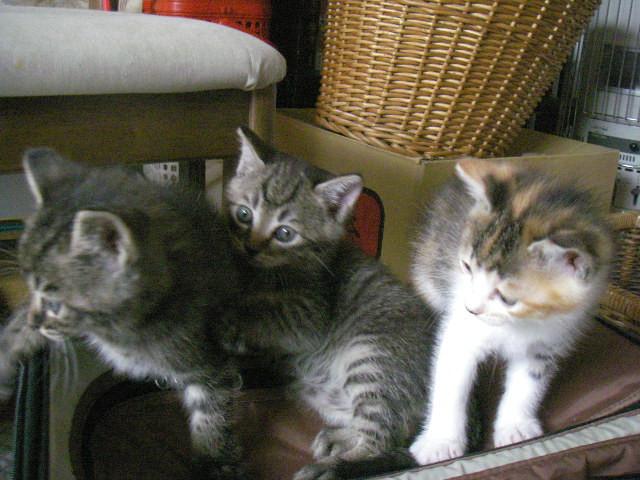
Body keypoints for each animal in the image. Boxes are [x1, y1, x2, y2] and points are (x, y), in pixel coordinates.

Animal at [0, 148, 245, 479]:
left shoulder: (210, 359)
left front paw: (214, 462)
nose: (35, 322)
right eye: (30, 288)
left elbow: (213, 411)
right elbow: (13, 330)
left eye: (54, 304)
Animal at [221, 127, 437, 480]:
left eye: (284, 233)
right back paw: (338, 437)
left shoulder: (310, 315)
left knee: (383, 440)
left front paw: (231, 319)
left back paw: (334, 468)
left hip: (371, 358)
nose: (251, 248)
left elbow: (266, 313)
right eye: (244, 214)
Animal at [409, 158, 613, 465]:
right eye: (466, 267)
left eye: (506, 298)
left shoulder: (549, 341)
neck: (522, 323)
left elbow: (528, 383)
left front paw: (515, 426)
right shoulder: (460, 332)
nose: (471, 308)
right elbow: (450, 381)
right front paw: (440, 442)